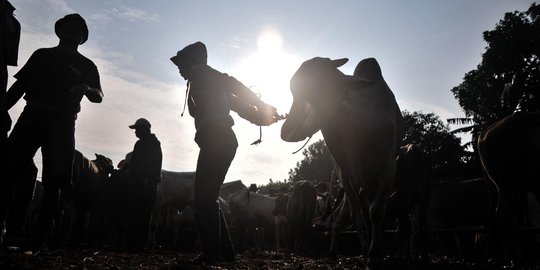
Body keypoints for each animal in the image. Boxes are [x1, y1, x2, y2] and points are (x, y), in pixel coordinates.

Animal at [280, 57, 402, 268]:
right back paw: (336, 248)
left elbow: (377, 211)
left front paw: (375, 252)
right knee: (343, 216)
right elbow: (358, 213)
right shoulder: (347, 173)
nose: (286, 130)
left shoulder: (388, 167)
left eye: (320, 90)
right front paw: (366, 249)